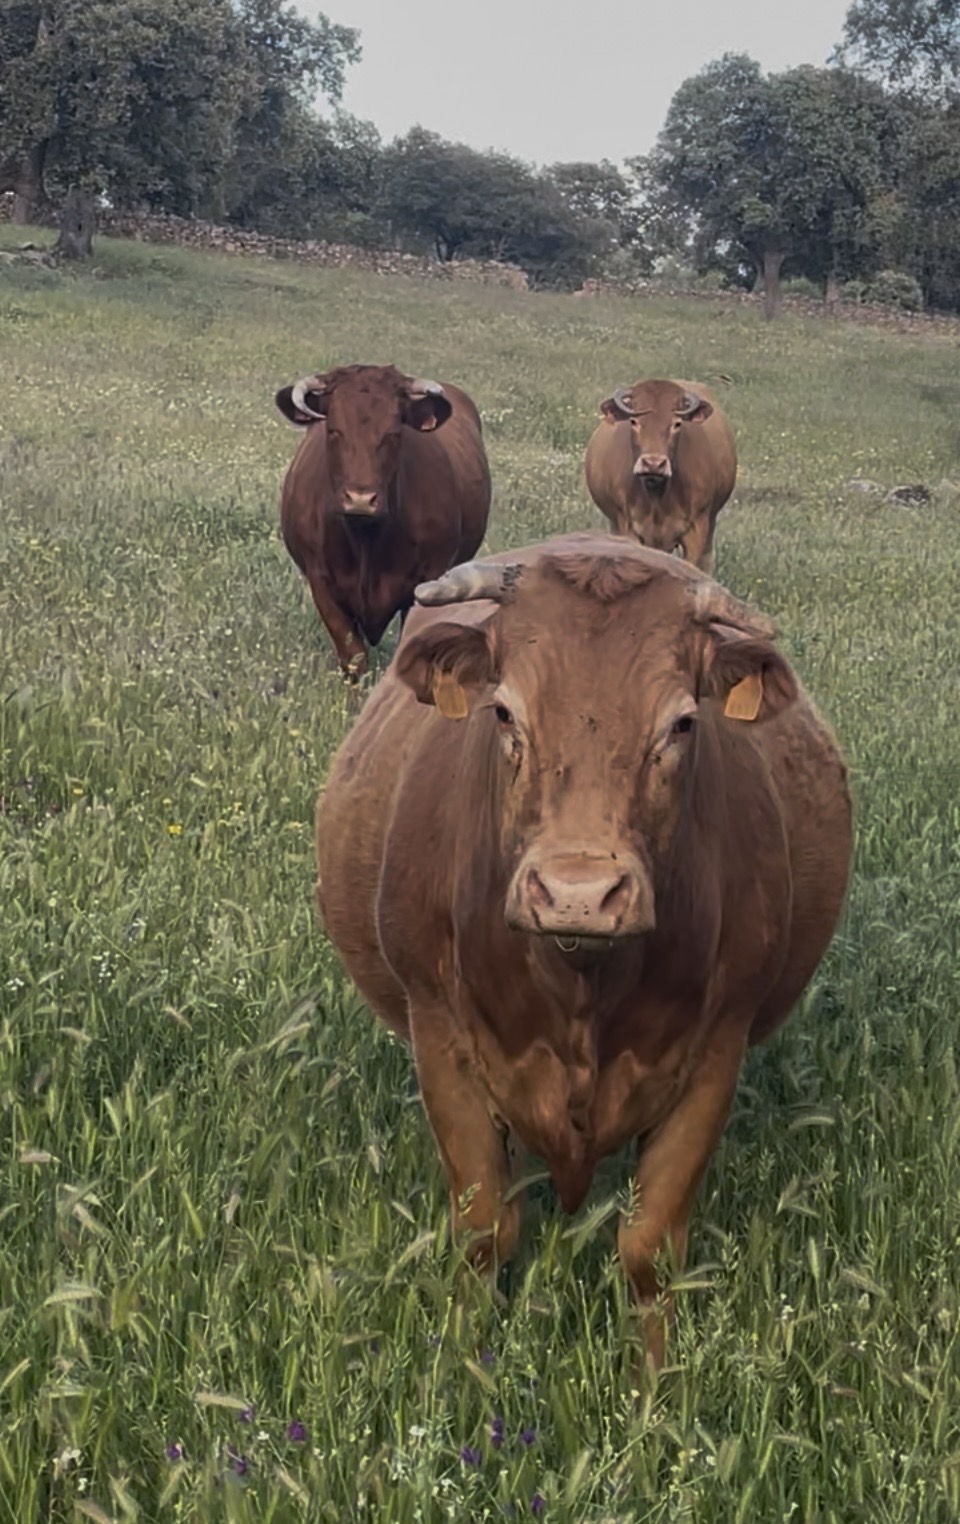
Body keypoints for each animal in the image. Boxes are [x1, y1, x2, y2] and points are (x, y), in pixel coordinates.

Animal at [275, 363, 492, 677]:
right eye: (334, 430)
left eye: (393, 433)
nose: (360, 499)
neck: (368, 541)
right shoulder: (321, 583)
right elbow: (354, 657)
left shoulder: (427, 581)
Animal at [315, 532, 851, 1367]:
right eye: (505, 711)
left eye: (682, 724)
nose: (577, 892)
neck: (576, 984)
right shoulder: (441, 1041)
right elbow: (483, 1230)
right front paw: (465, 1363)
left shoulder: (716, 1056)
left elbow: (649, 1247)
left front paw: (656, 1382)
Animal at [584, 379, 737, 574]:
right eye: (634, 421)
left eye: (677, 424)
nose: (653, 464)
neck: (657, 496)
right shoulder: (629, 529)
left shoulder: (697, 531)